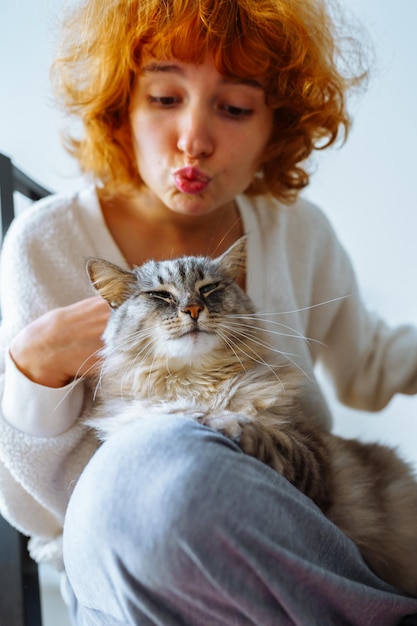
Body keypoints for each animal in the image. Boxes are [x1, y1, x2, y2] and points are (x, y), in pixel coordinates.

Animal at [83, 236, 416, 592]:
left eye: (209, 288)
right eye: (160, 295)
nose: (193, 309)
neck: (200, 386)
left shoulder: (314, 459)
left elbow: (267, 436)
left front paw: (226, 424)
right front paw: (207, 418)